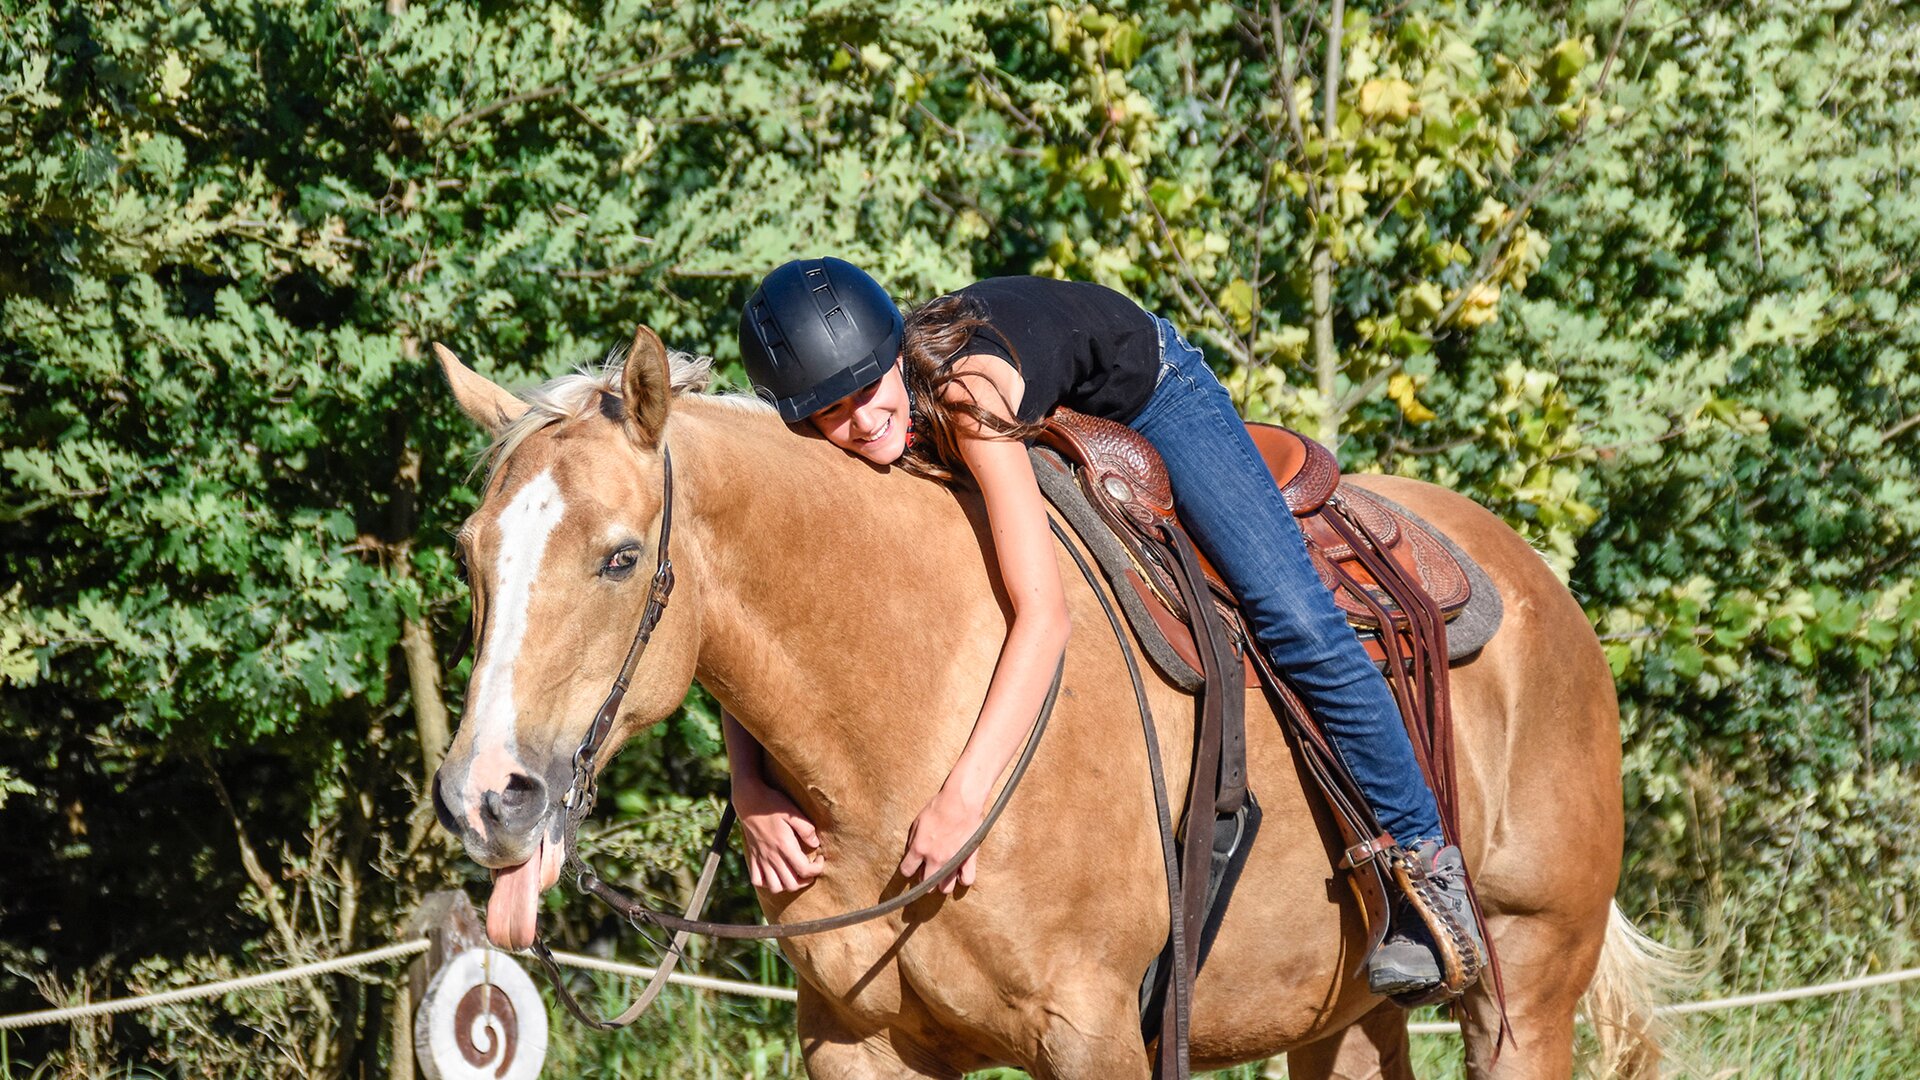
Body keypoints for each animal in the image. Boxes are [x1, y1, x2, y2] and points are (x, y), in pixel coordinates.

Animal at [432, 328, 1666, 1076]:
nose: (484, 797)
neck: (914, 706)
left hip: (1526, 993)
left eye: (619, 558)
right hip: (1344, 1020)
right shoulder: (854, 1044)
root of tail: (1542, 588)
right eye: (471, 551)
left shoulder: (1093, 1036)